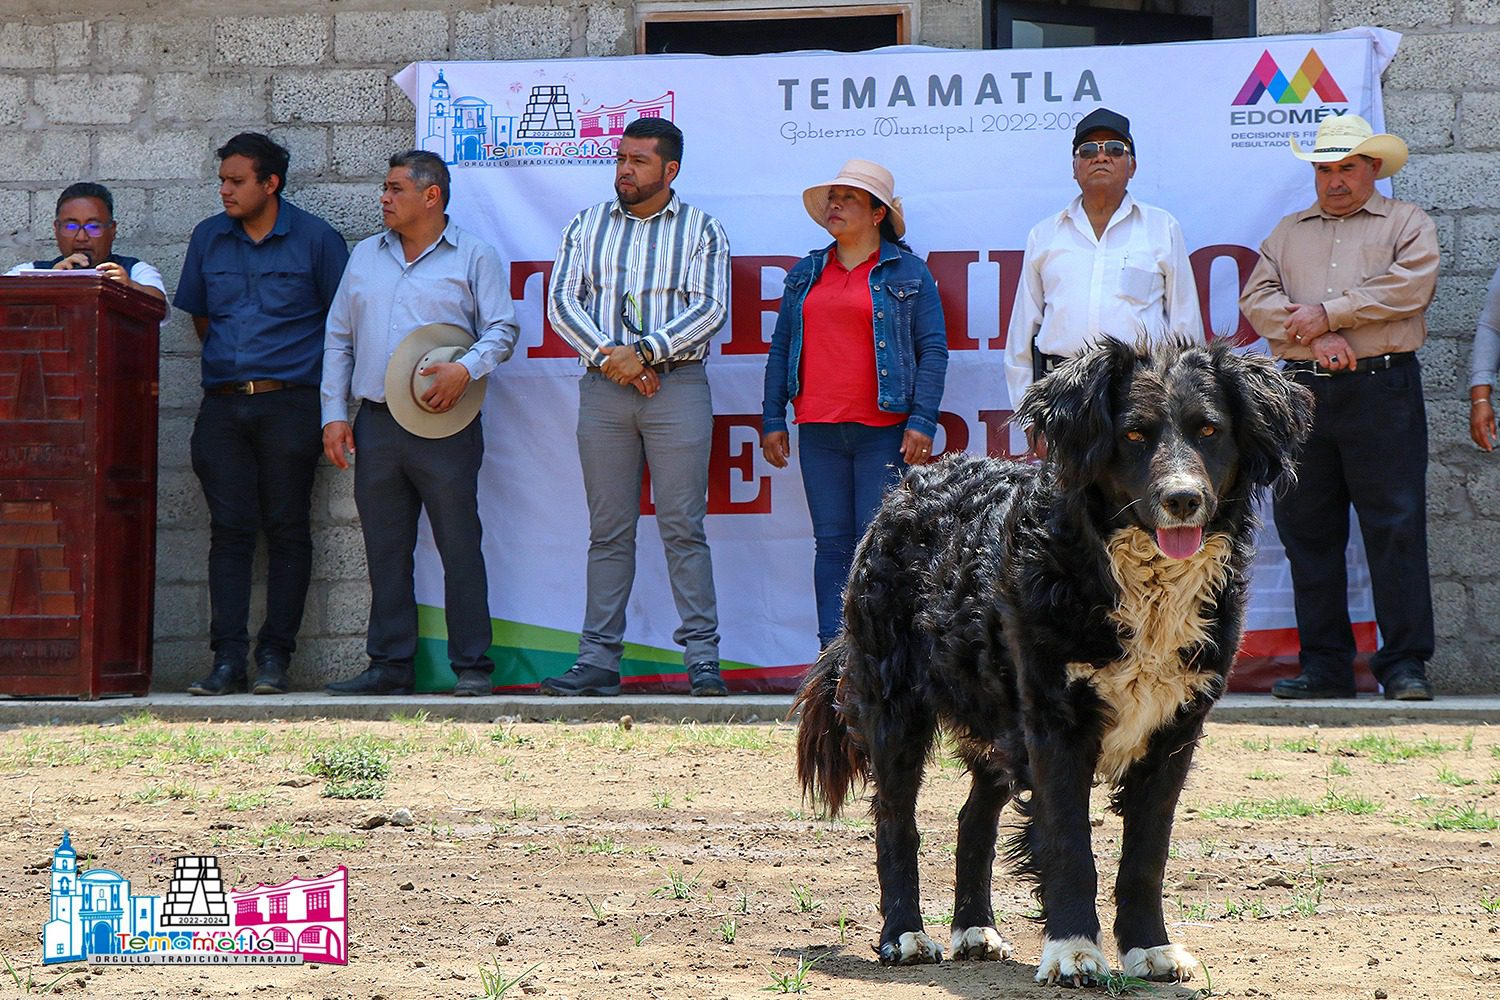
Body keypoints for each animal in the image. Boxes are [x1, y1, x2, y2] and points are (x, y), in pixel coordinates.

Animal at [798, 340, 1314, 983]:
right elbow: (1068, 844)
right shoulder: (1054, 724)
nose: (1183, 500)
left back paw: (975, 929)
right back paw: (905, 936)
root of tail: (908, 485)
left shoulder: (1175, 730)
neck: (1128, 577)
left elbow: (1147, 853)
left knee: (973, 818)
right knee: (896, 820)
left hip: (996, 720)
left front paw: (1150, 947)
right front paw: (1073, 950)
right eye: (1135, 434)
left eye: (1209, 430)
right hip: (897, 708)